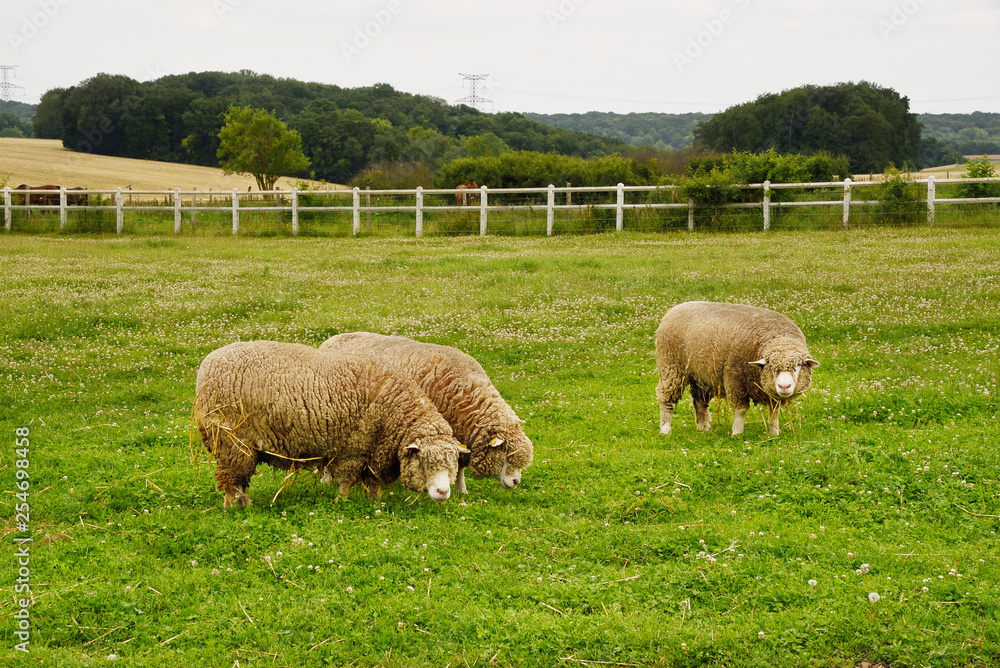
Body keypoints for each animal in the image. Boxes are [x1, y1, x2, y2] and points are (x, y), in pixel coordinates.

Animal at [194, 340, 463, 508]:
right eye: (424, 462)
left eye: (453, 464)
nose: (443, 493)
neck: (394, 409)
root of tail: (207, 364)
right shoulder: (354, 446)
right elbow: (346, 479)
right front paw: (342, 501)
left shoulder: (375, 449)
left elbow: (373, 482)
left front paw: (375, 501)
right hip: (231, 440)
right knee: (231, 479)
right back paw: (235, 506)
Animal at [319, 332, 533, 494]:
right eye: (505, 453)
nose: (516, 482)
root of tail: (332, 338)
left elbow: (458, 465)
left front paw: (461, 491)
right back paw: (326, 479)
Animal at [655, 301, 819, 436]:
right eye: (771, 368)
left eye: (798, 366)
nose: (784, 386)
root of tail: (676, 307)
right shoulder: (735, 380)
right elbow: (741, 410)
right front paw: (737, 433)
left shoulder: (771, 392)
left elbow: (774, 412)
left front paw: (774, 433)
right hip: (671, 367)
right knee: (666, 398)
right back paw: (665, 429)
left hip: (701, 375)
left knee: (699, 400)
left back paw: (703, 428)